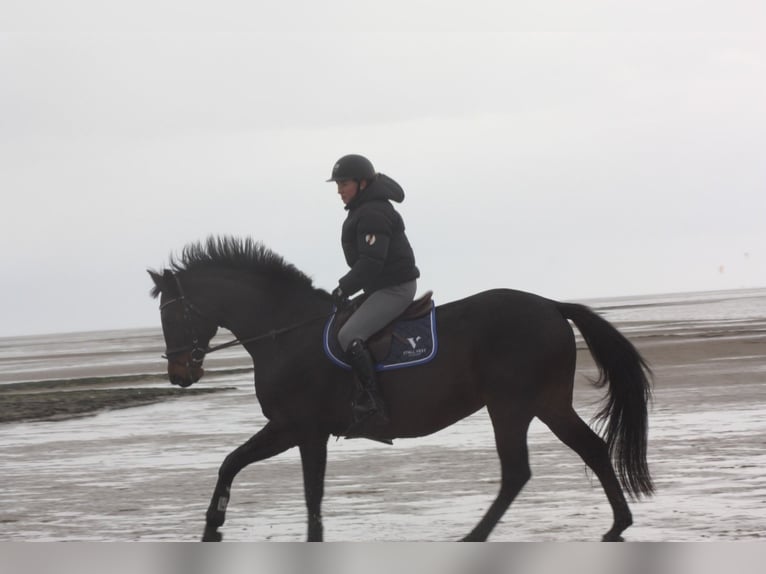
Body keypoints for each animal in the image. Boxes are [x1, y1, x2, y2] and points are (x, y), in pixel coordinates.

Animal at [148, 236, 656, 544]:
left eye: (173, 314)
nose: (179, 374)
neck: (286, 332)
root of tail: (551, 305)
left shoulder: (304, 429)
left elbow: (309, 491)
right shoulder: (288, 428)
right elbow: (232, 462)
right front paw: (213, 526)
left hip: (509, 406)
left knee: (517, 471)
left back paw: (475, 536)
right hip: (547, 403)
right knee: (591, 447)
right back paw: (617, 525)